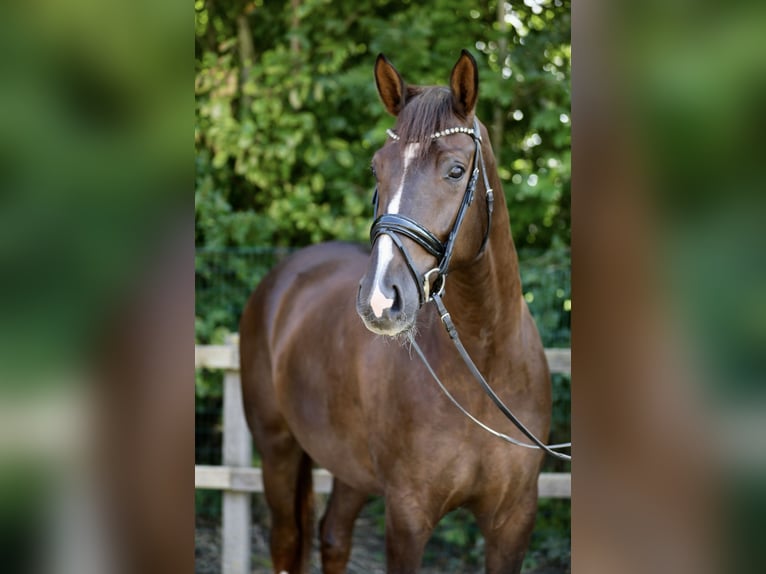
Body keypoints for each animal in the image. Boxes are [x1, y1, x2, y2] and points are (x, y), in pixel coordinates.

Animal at [242, 50, 552, 574]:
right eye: (376, 169)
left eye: (455, 170)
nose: (379, 300)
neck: (486, 364)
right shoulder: (408, 515)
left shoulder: (514, 520)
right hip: (278, 450)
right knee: (287, 541)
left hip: (349, 466)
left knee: (333, 536)